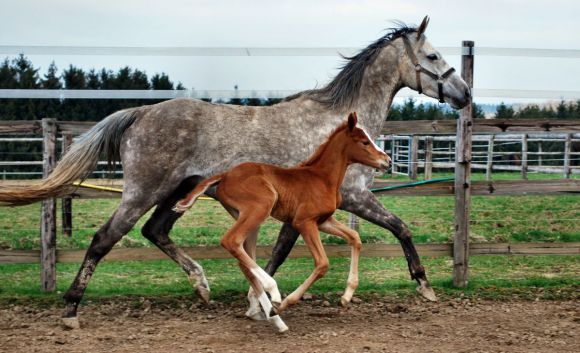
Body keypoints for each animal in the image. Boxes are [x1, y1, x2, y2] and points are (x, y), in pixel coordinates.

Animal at [172, 112, 390, 330]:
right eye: (364, 142)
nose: (387, 161)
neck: (322, 178)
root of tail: (225, 174)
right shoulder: (304, 221)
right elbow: (322, 263)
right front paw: (286, 302)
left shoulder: (323, 221)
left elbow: (355, 238)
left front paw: (346, 296)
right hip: (260, 208)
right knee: (231, 241)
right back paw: (274, 296)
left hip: (249, 219)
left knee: (244, 260)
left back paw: (272, 317)